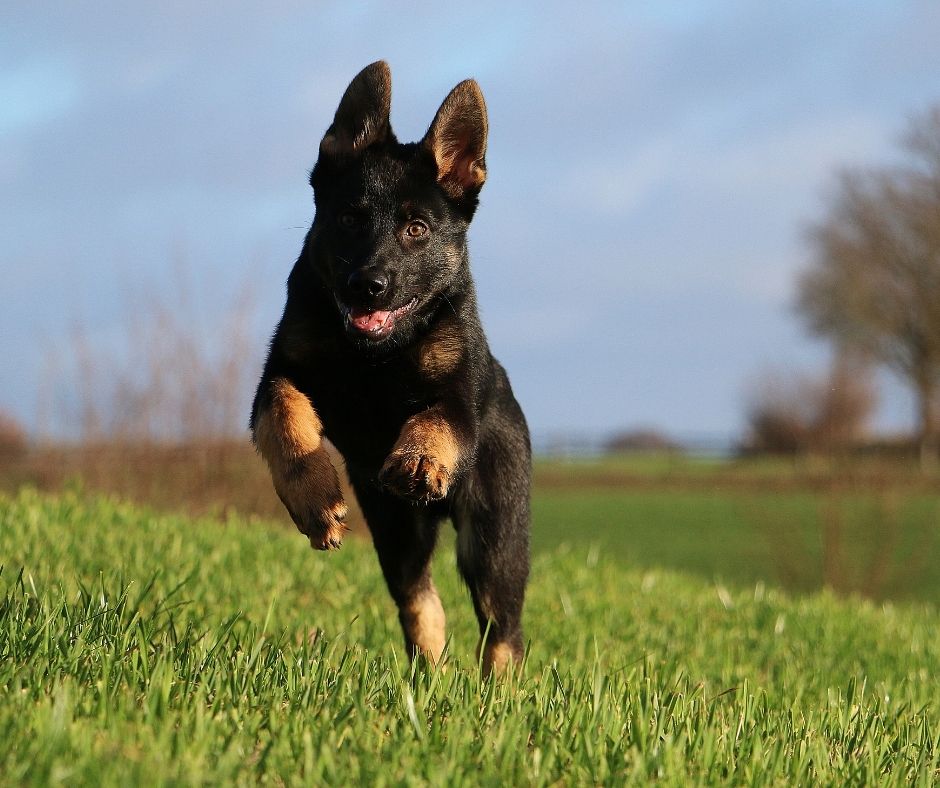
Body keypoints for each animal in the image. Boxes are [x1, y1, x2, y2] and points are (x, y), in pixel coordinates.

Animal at [250, 63, 528, 676]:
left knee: (503, 629)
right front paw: (314, 500)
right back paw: (429, 670)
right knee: (421, 598)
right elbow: (286, 418)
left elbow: (436, 419)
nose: (368, 286)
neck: (375, 357)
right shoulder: (279, 376)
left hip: (495, 537)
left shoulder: (457, 399)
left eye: (416, 229)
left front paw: (420, 459)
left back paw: (501, 689)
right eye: (350, 219)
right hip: (397, 531)